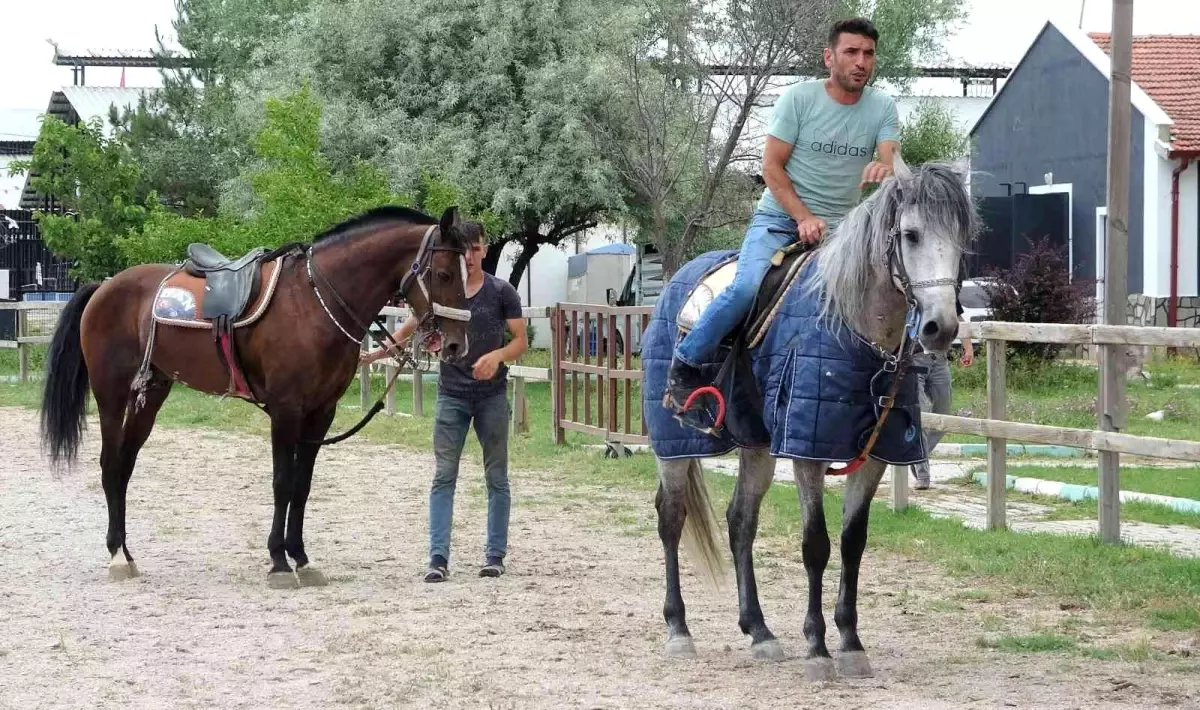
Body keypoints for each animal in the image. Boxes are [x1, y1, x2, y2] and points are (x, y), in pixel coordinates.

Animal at [38, 202, 468, 585]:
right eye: (444, 273)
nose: (455, 345)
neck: (315, 301)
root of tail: (105, 287)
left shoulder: (320, 412)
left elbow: (302, 486)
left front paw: (301, 558)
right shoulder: (286, 409)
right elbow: (282, 483)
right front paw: (279, 561)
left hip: (153, 393)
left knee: (125, 466)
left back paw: (126, 553)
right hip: (111, 394)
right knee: (111, 464)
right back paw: (115, 556)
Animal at [648, 157, 974, 681]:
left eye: (962, 238)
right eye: (911, 235)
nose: (939, 328)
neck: (851, 326)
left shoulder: (874, 455)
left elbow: (853, 542)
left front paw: (851, 644)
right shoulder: (807, 451)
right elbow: (816, 545)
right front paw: (818, 649)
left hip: (757, 444)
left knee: (741, 521)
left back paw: (759, 631)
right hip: (674, 447)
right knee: (671, 518)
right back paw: (679, 630)